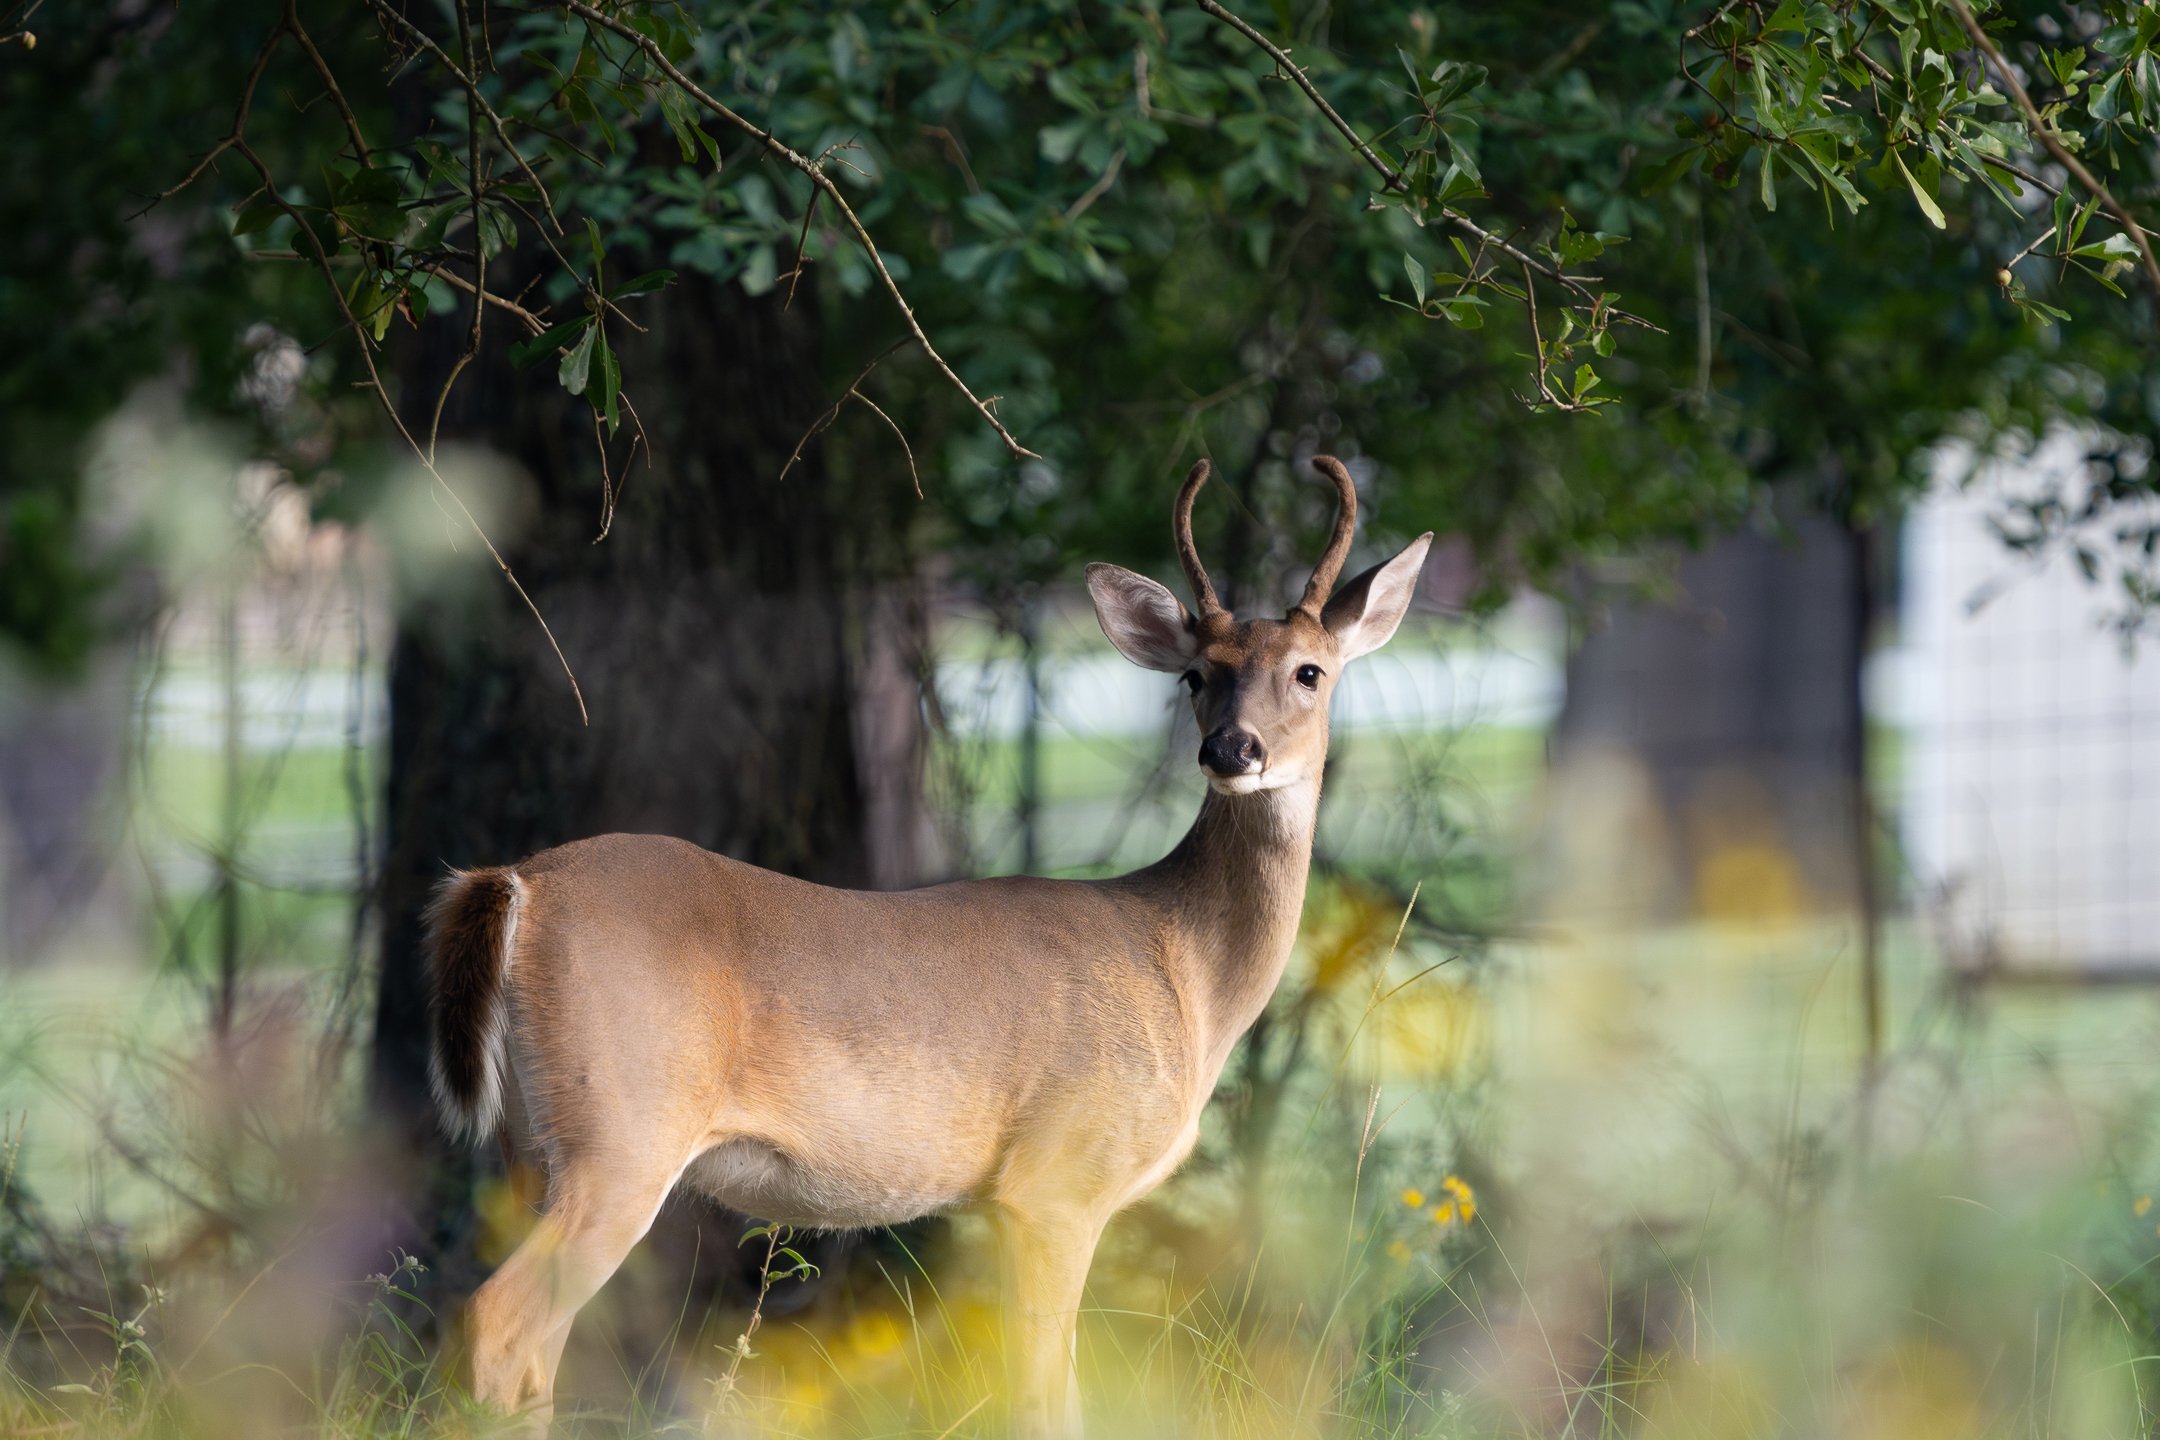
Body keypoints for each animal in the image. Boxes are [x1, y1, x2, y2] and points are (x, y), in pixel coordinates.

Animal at [423, 454, 1432, 1436]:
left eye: (1310, 671)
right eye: (1195, 674)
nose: (1232, 750)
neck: (1185, 969)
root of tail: (516, 885)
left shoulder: (1005, 1202)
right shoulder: (1058, 1179)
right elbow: (1049, 1399)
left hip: (528, 1147)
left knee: (535, 1354)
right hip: (623, 1130)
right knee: (494, 1321)